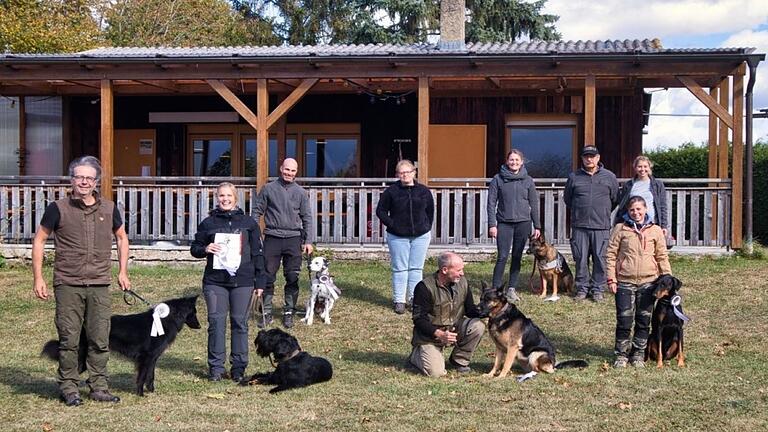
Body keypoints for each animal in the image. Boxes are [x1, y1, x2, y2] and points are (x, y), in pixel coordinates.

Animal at [41, 296, 201, 396]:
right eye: (194, 313)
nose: (200, 326)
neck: (165, 319)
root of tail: (83, 328)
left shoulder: (153, 358)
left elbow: (151, 376)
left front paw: (151, 391)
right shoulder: (146, 358)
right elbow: (142, 376)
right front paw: (140, 394)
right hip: (82, 360)